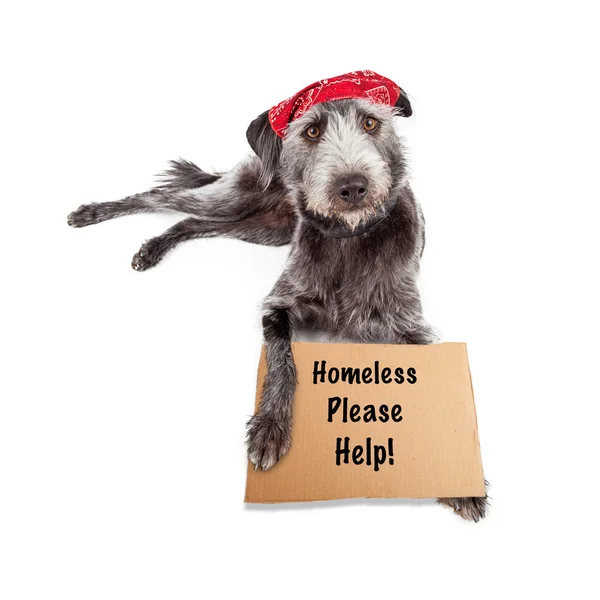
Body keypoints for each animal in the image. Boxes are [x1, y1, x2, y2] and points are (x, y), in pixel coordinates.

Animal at [68, 70, 488, 520]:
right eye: (312, 130)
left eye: (371, 122)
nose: (353, 187)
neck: (349, 237)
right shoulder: (279, 307)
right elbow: (282, 360)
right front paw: (270, 428)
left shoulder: (408, 324)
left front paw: (463, 478)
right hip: (234, 200)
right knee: (160, 198)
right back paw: (93, 213)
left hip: (262, 227)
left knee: (191, 223)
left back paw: (152, 246)